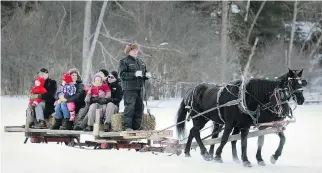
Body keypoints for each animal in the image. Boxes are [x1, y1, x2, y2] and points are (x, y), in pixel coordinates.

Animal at [177, 69, 306, 168]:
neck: (246, 98)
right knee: (195, 132)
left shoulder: (250, 125)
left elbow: (246, 142)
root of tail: (190, 92)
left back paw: (189, 151)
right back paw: (205, 153)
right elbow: (225, 139)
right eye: (283, 91)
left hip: (213, 120)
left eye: (301, 84)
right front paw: (218, 156)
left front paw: (249, 160)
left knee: (197, 132)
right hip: (200, 118)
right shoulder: (231, 123)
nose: (285, 111)